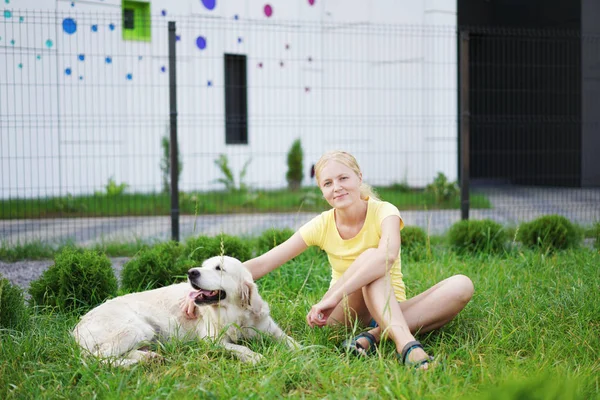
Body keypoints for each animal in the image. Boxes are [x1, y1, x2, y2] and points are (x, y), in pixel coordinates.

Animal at [72, 256, 298, 366]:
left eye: (219, 268)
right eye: (203, 265)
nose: (191, 272)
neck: (235, 314)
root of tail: (77, 327)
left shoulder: (270, 329)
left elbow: (291, 342)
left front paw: (304, 352)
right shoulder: (212, 341)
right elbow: (241, 348)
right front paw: (255, 357)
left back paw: (149, 358)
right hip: (136, 328)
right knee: (96, 358)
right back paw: (131, 364)